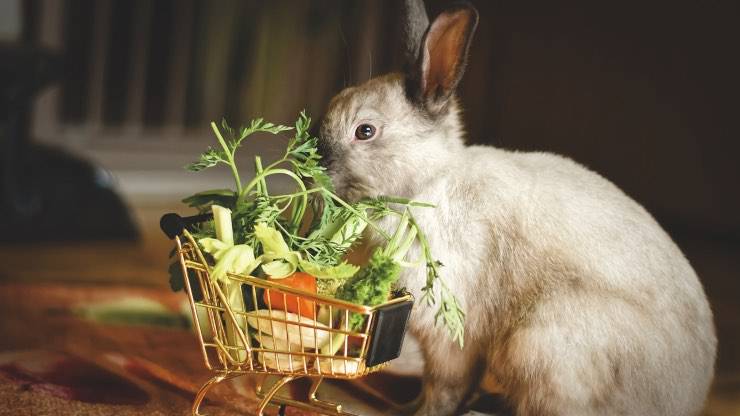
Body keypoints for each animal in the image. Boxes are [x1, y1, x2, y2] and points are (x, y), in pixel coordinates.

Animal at [317, 1, 717, 415]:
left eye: (365, 131)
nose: (317, 165)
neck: (428, 184)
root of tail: (686, 399)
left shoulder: (451, 335)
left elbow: (444, 386)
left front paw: (420, 412)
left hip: (539, 349)